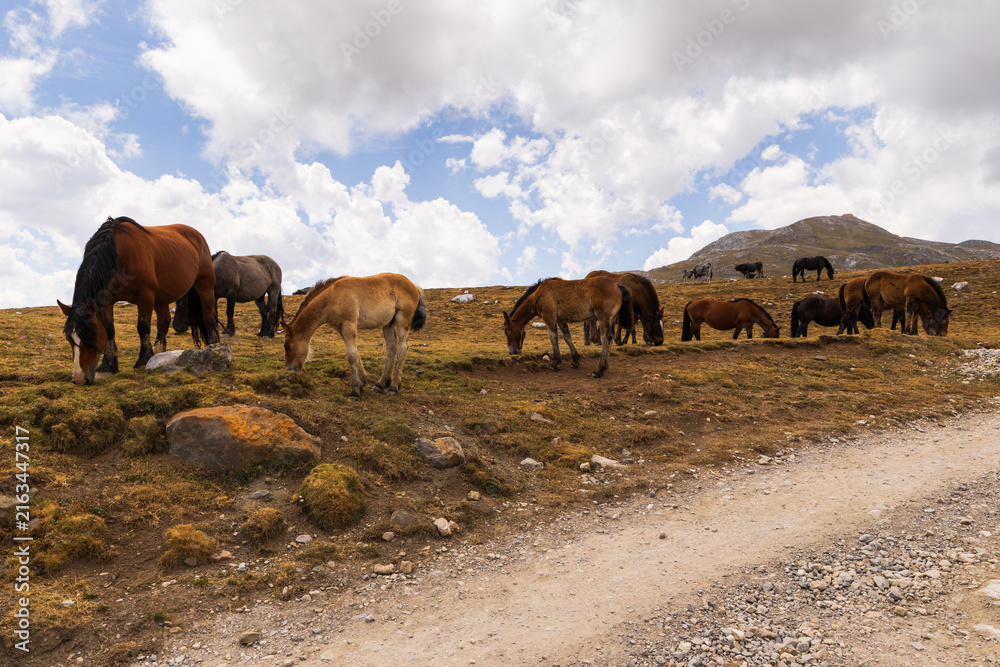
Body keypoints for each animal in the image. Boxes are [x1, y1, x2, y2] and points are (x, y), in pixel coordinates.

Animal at [58, 216, 220, 384]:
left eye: (91, 335)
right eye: (69, 339)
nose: (79, 379)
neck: (118, 254)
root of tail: (197, 236)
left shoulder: (145, 295)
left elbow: (143, 327)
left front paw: (142, 360)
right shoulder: (108, 300)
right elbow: (109, 329)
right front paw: (107, 366)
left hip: (205, 285)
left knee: (208, 316)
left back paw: (213, 346)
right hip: (161, 297)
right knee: (164, 322)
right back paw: (158, 354)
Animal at [281, 273, 427, 399]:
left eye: (287, 346)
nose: (289, 369)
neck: (332, 297)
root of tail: (414, 285)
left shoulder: (349, 325)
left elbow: (351, 355)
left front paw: (355, 391)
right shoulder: (341, 328)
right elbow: (356, 353)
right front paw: (362, 383)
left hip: (402, 321)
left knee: (402, 349)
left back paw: (394, 387)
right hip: (388, 324)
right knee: (391, 349)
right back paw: (381, 384)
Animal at [503, 276, 633, 378]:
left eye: (506, 332)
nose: (512, 352)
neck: (539, 294)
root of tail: (616, 285)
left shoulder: (549, 318)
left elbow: (553, 338)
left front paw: (555, 363)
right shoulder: (561, 321)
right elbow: (567, 337)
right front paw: (575, 360)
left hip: (603, 318)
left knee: (606, 339)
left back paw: (599, 370)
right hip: (611, 319)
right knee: (611, 338)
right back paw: (606, 366)